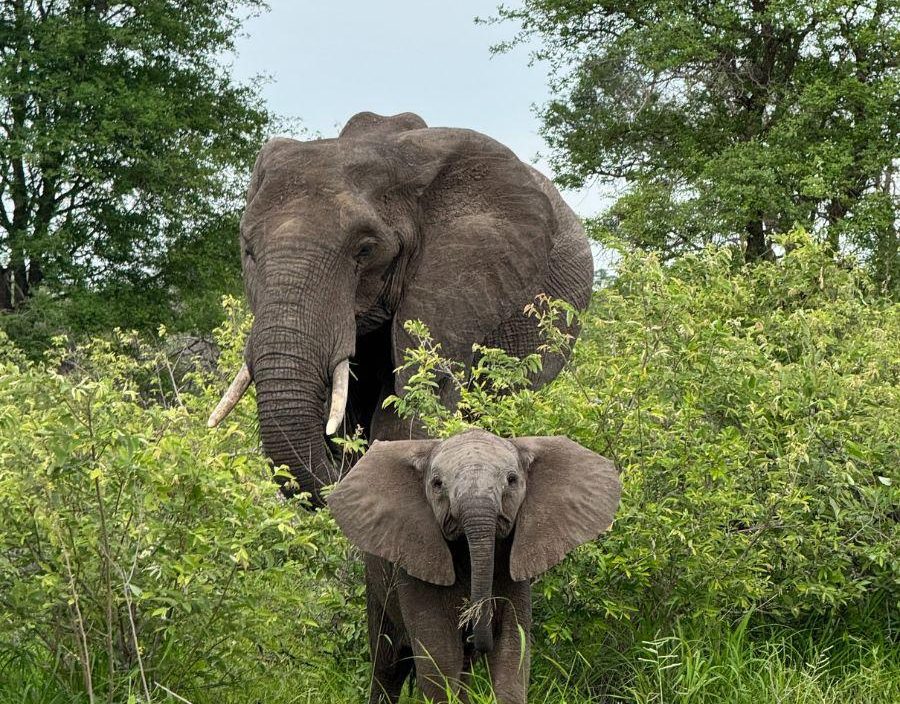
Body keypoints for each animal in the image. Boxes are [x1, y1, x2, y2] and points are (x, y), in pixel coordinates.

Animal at [327, 428, 621, 703]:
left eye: (512, 480)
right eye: (437, 484)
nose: (474, 630)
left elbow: (512, 649)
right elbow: (440, 657)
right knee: (388, 666)